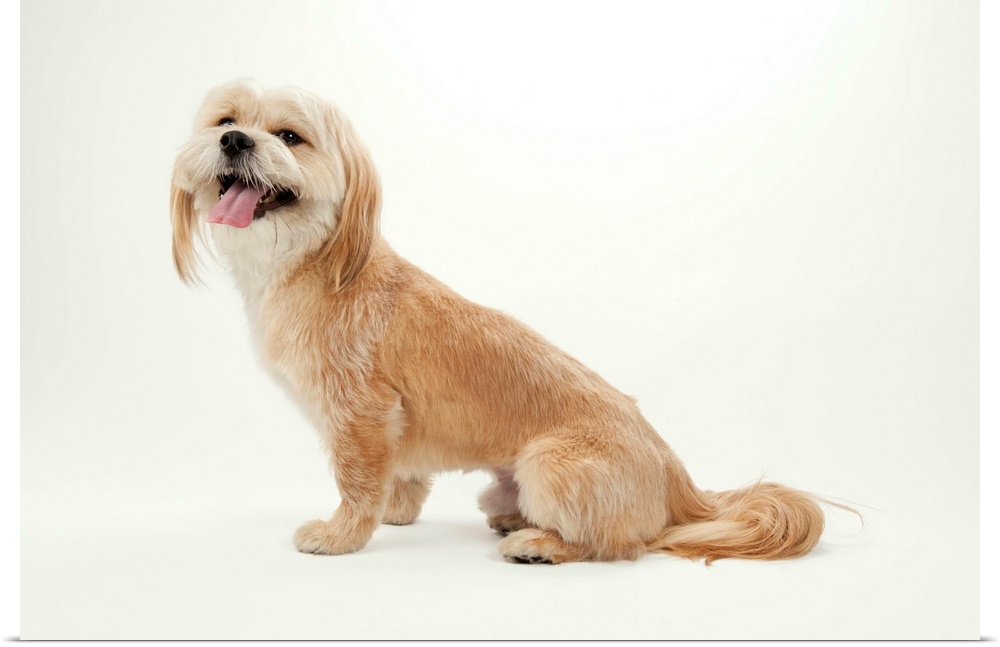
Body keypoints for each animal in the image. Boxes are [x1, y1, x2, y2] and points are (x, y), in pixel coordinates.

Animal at [171, 79, 831, 564]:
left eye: (290, 136)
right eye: (225, 119)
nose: (235, 141)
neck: (317, 262)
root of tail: (677, 479)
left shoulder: (361, 412)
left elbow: (356, 480)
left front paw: (342, 535)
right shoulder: (390, 425)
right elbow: (399, 474)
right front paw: (396, 511)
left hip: (549, 464)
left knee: (622, 544)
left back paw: (540, 544)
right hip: (501, 483)